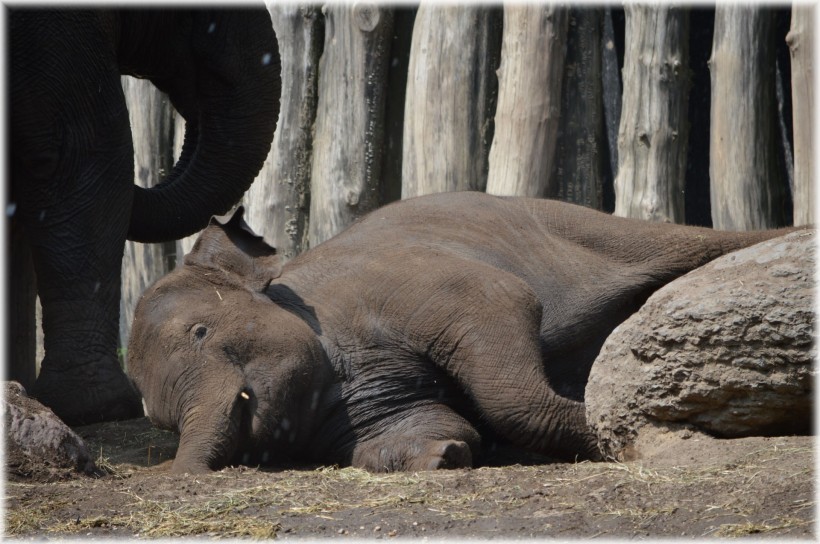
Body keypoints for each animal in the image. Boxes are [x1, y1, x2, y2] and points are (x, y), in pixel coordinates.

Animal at [126, 191, 796, 472]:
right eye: (156, 420)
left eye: (201, 332)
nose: (168, 476)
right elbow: (415, 432)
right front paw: (448, 453)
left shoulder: (403, 286)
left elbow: (504, 310)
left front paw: (613, 432)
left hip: (582, 226)